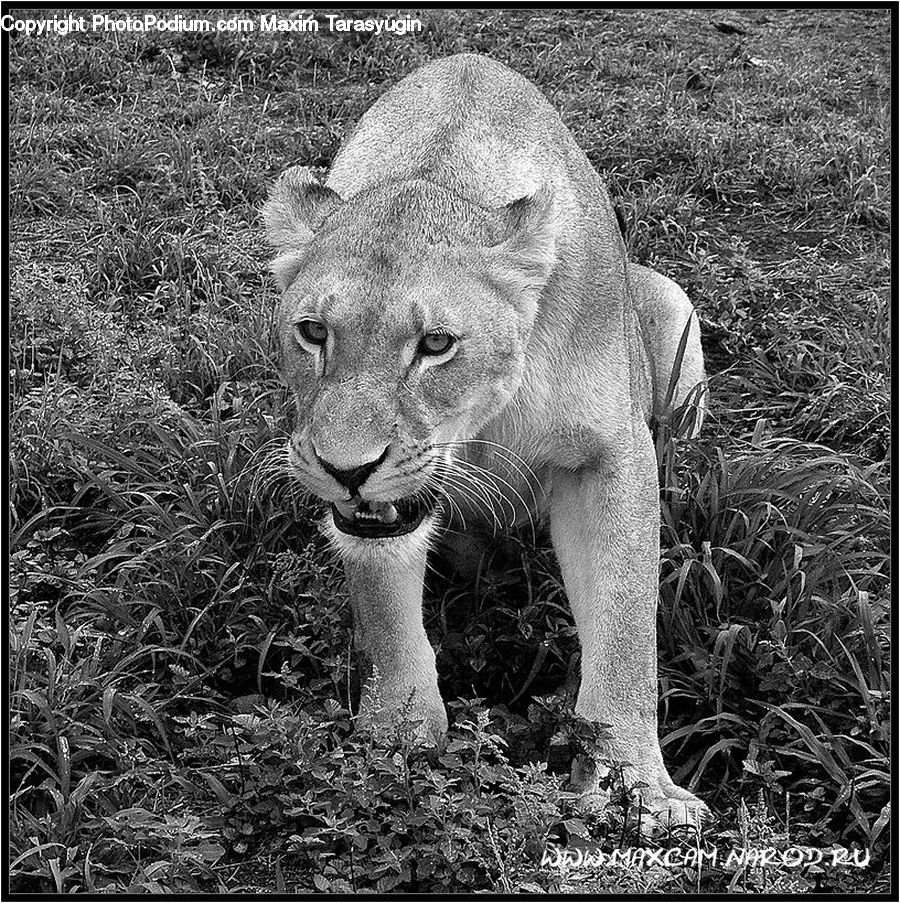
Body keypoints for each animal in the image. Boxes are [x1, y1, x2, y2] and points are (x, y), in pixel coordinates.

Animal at [263, 53, 708, 826]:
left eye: (436, 344)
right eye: (313, 332)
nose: (345, 468)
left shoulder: (610, 455)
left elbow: (626, 626)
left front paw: (635, 791)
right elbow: (386, 611)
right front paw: (395, 742)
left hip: (668, 306)